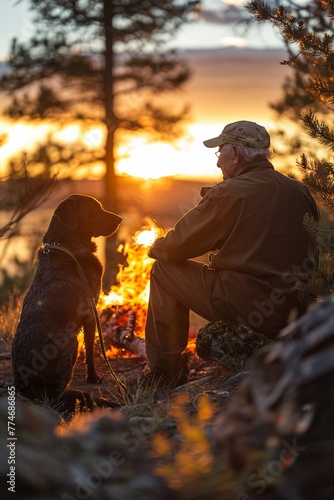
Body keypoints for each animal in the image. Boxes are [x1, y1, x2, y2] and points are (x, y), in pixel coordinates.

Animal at [10, 193, 122, 416]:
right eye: (95, 209)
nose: (120, 219)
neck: (68, 243)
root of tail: (31, 390)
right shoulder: (90, 310)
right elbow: (90, 350)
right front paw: (93, 378)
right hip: (70, 341)